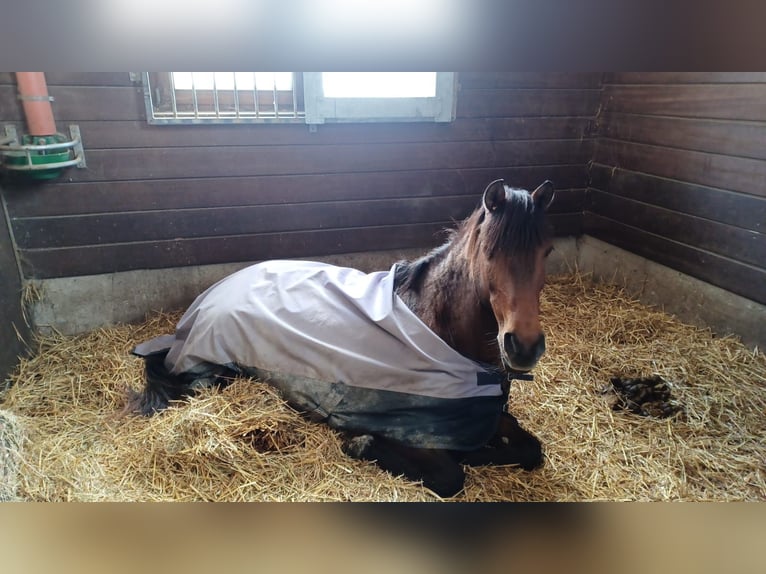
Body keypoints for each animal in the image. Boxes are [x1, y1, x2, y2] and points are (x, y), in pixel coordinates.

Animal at [127, 179, 555, 497]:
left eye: (547, 251)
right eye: (490, 252)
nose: (524, 346)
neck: (433, 330)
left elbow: (531, 449)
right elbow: (451, 476)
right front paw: (361, 443)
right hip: (217, 373)